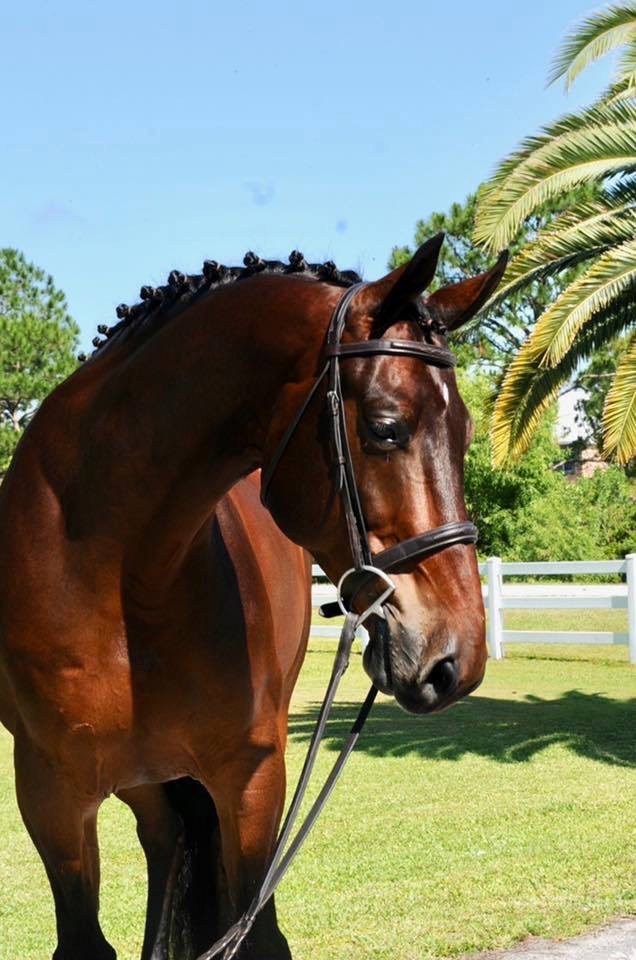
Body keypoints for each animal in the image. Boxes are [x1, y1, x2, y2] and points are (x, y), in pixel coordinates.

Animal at [0, 235, 506, 959]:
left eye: (464, 433)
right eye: (386, 427)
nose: (456, 660)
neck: (117, 571)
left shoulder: (251, 781)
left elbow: (257, 931)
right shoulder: (51, 797)